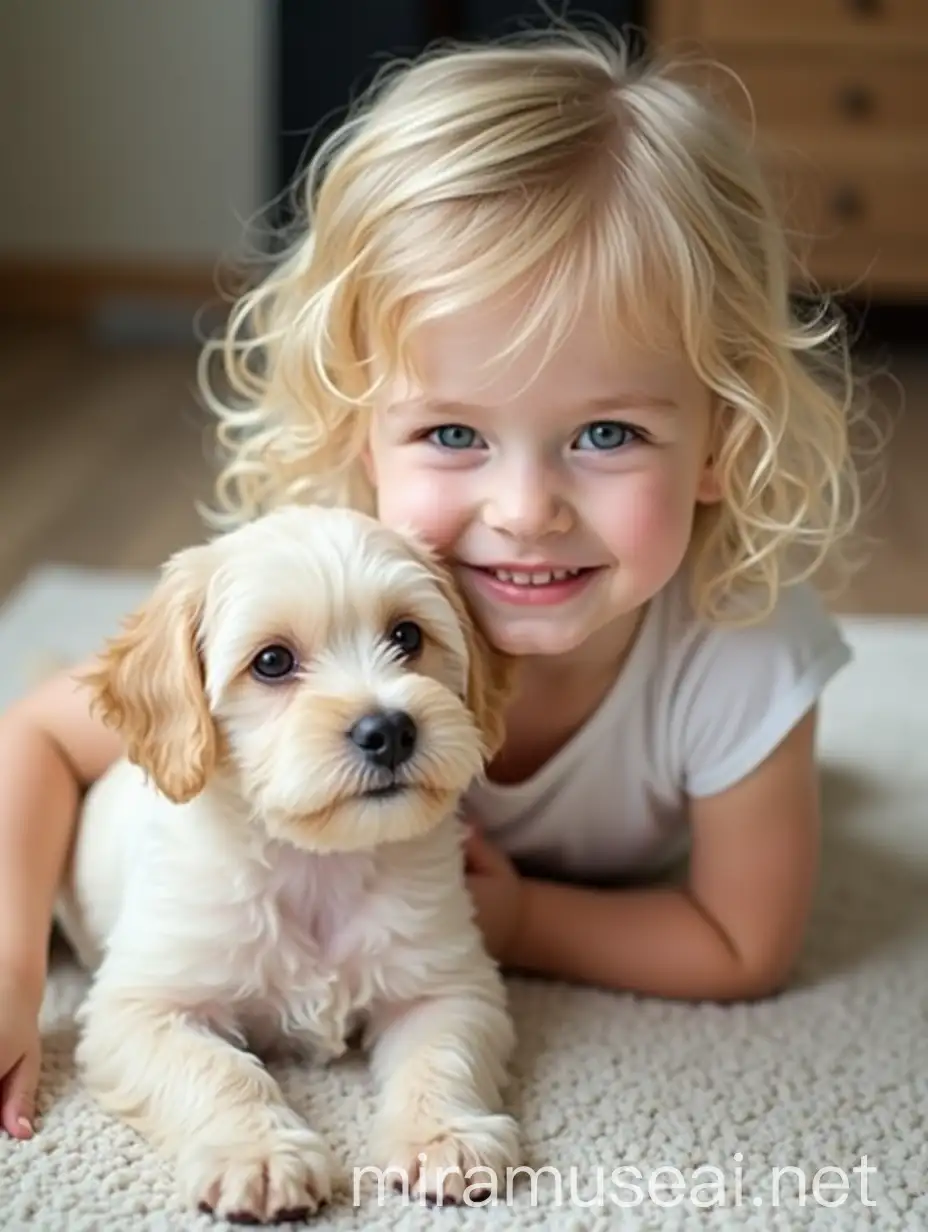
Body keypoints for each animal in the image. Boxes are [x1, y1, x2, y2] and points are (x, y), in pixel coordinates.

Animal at [54, 502, 522, 1222]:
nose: (389, 730)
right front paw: (259, 1153)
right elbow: (218, 1070)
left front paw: (444, 1135)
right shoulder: (139, 1009)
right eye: (272, 661)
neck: (314, 864)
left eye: (407, 635)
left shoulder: (445, 985)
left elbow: (440, 1057)